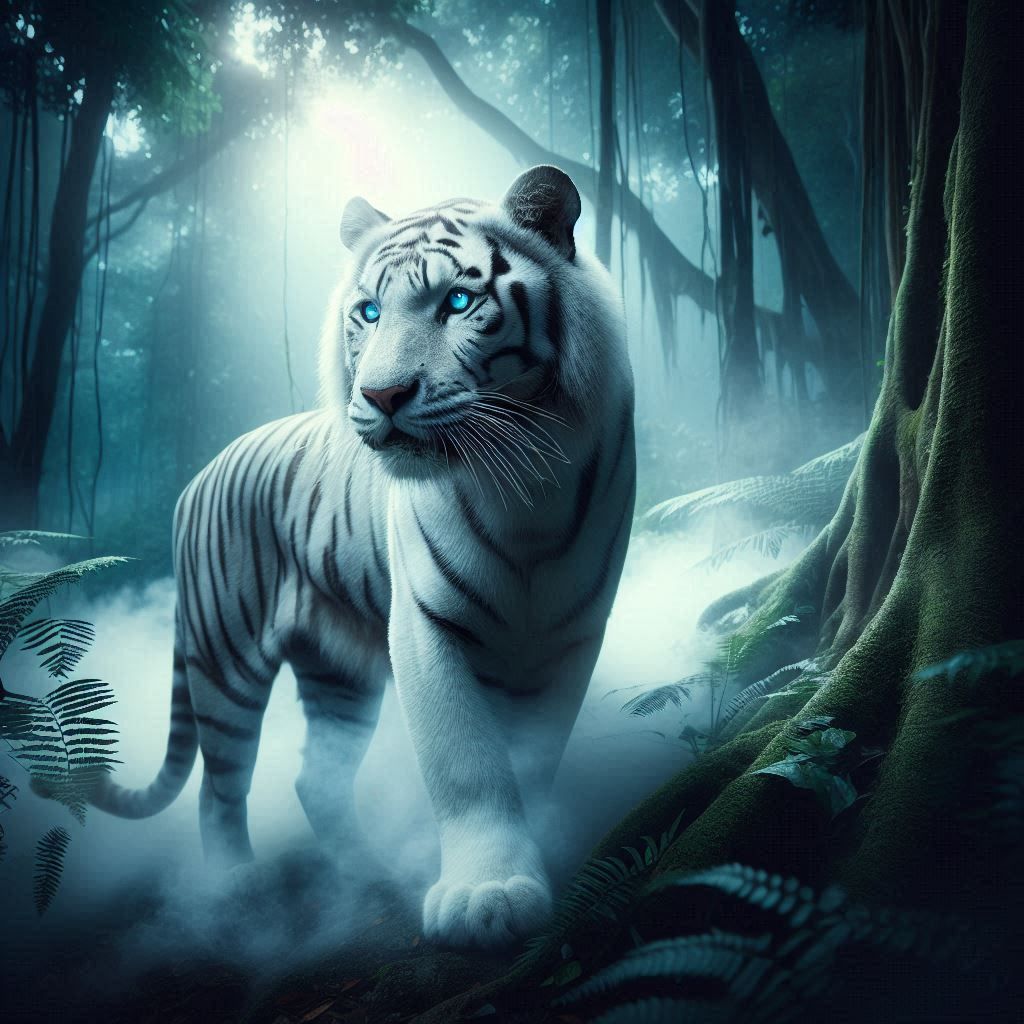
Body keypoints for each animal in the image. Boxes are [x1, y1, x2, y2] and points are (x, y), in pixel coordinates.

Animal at [87, 165, 636, 949]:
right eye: (369, 312)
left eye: (459, 301)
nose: (382, 394)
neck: (522, 481)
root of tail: (199, 475)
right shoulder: (427, 626)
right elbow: (467, 761)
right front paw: (486, 892)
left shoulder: (569, 632)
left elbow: (533, 751)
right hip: (225, 661)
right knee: (220, 787)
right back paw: (231, 894)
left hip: (335, 676)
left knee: (315, 780)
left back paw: (366, 874)